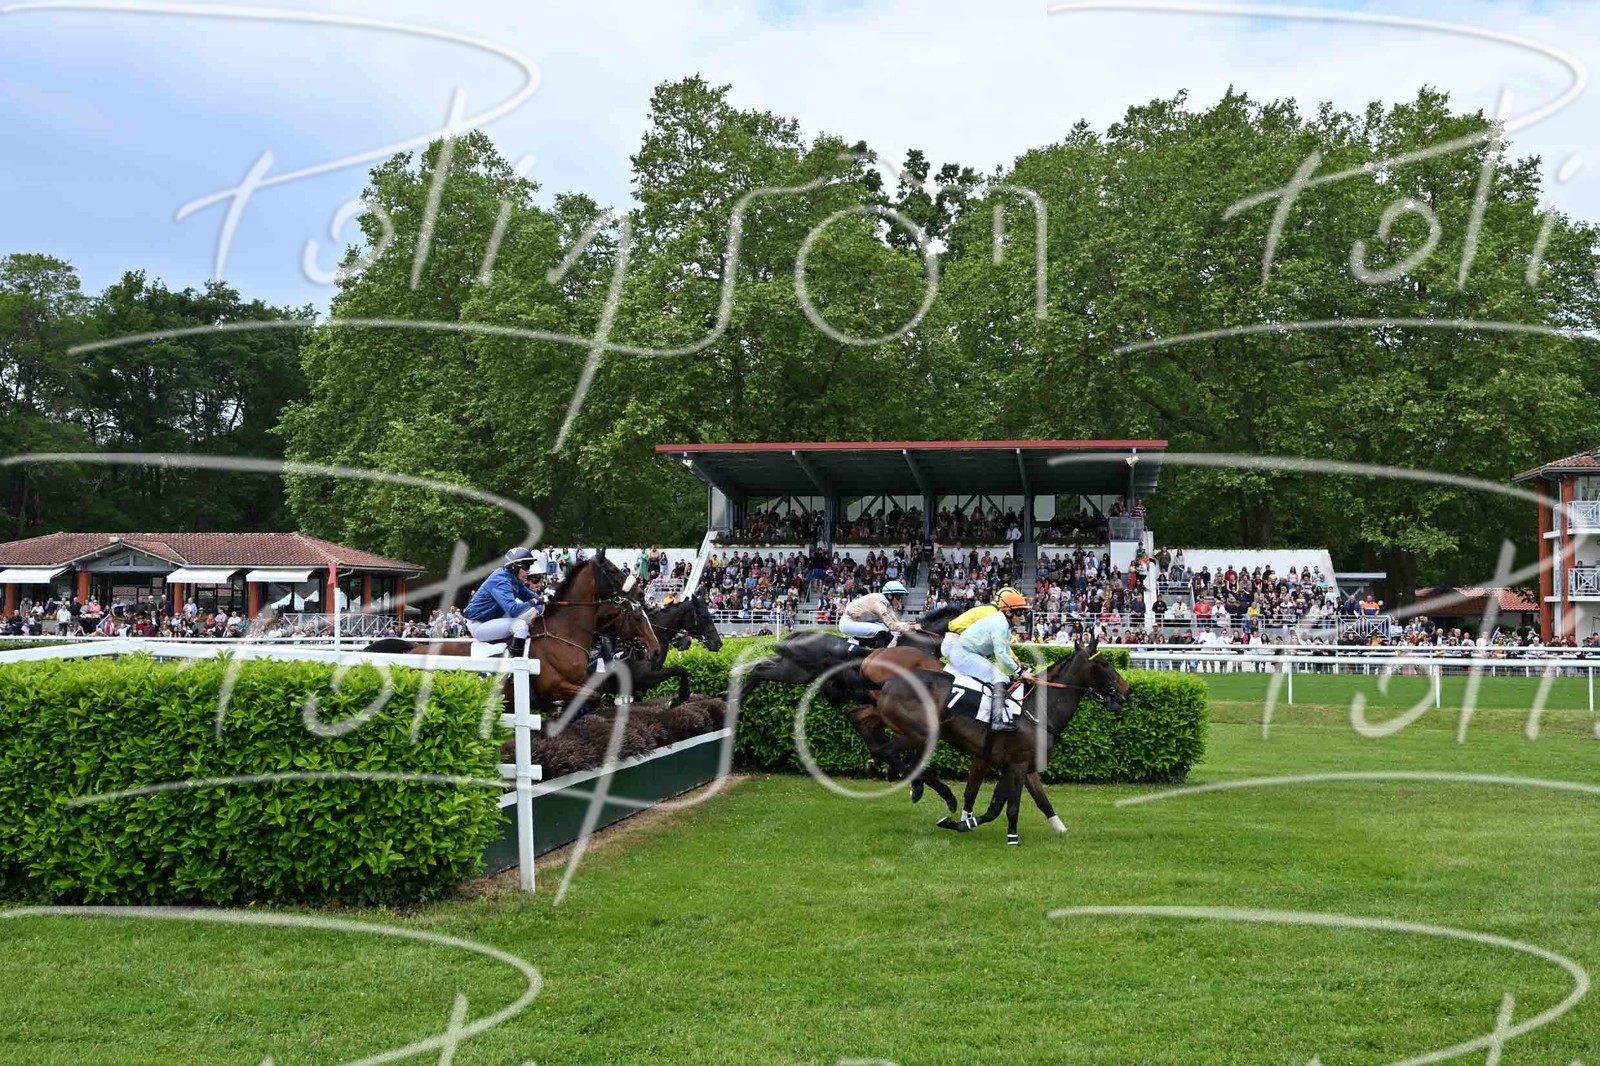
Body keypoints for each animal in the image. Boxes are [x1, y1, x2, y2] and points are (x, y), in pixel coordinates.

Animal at [362, 553, 660, 710]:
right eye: (614, 570)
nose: (656, 651)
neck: (563, 635)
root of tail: (411, 648)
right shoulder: (557, 687)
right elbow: (591, 697)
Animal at [854, 631, 1129, 845]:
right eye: (1105, 663)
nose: (1126, 691)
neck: (1036, 708)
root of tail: (888, 680)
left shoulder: (1017, 765)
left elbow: (1014, 803)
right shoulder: (1016, 764)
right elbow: (1007, 805)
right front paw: (1011, 837)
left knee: (865, 726)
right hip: (919, 732)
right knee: (886, 751)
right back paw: (942, 793)